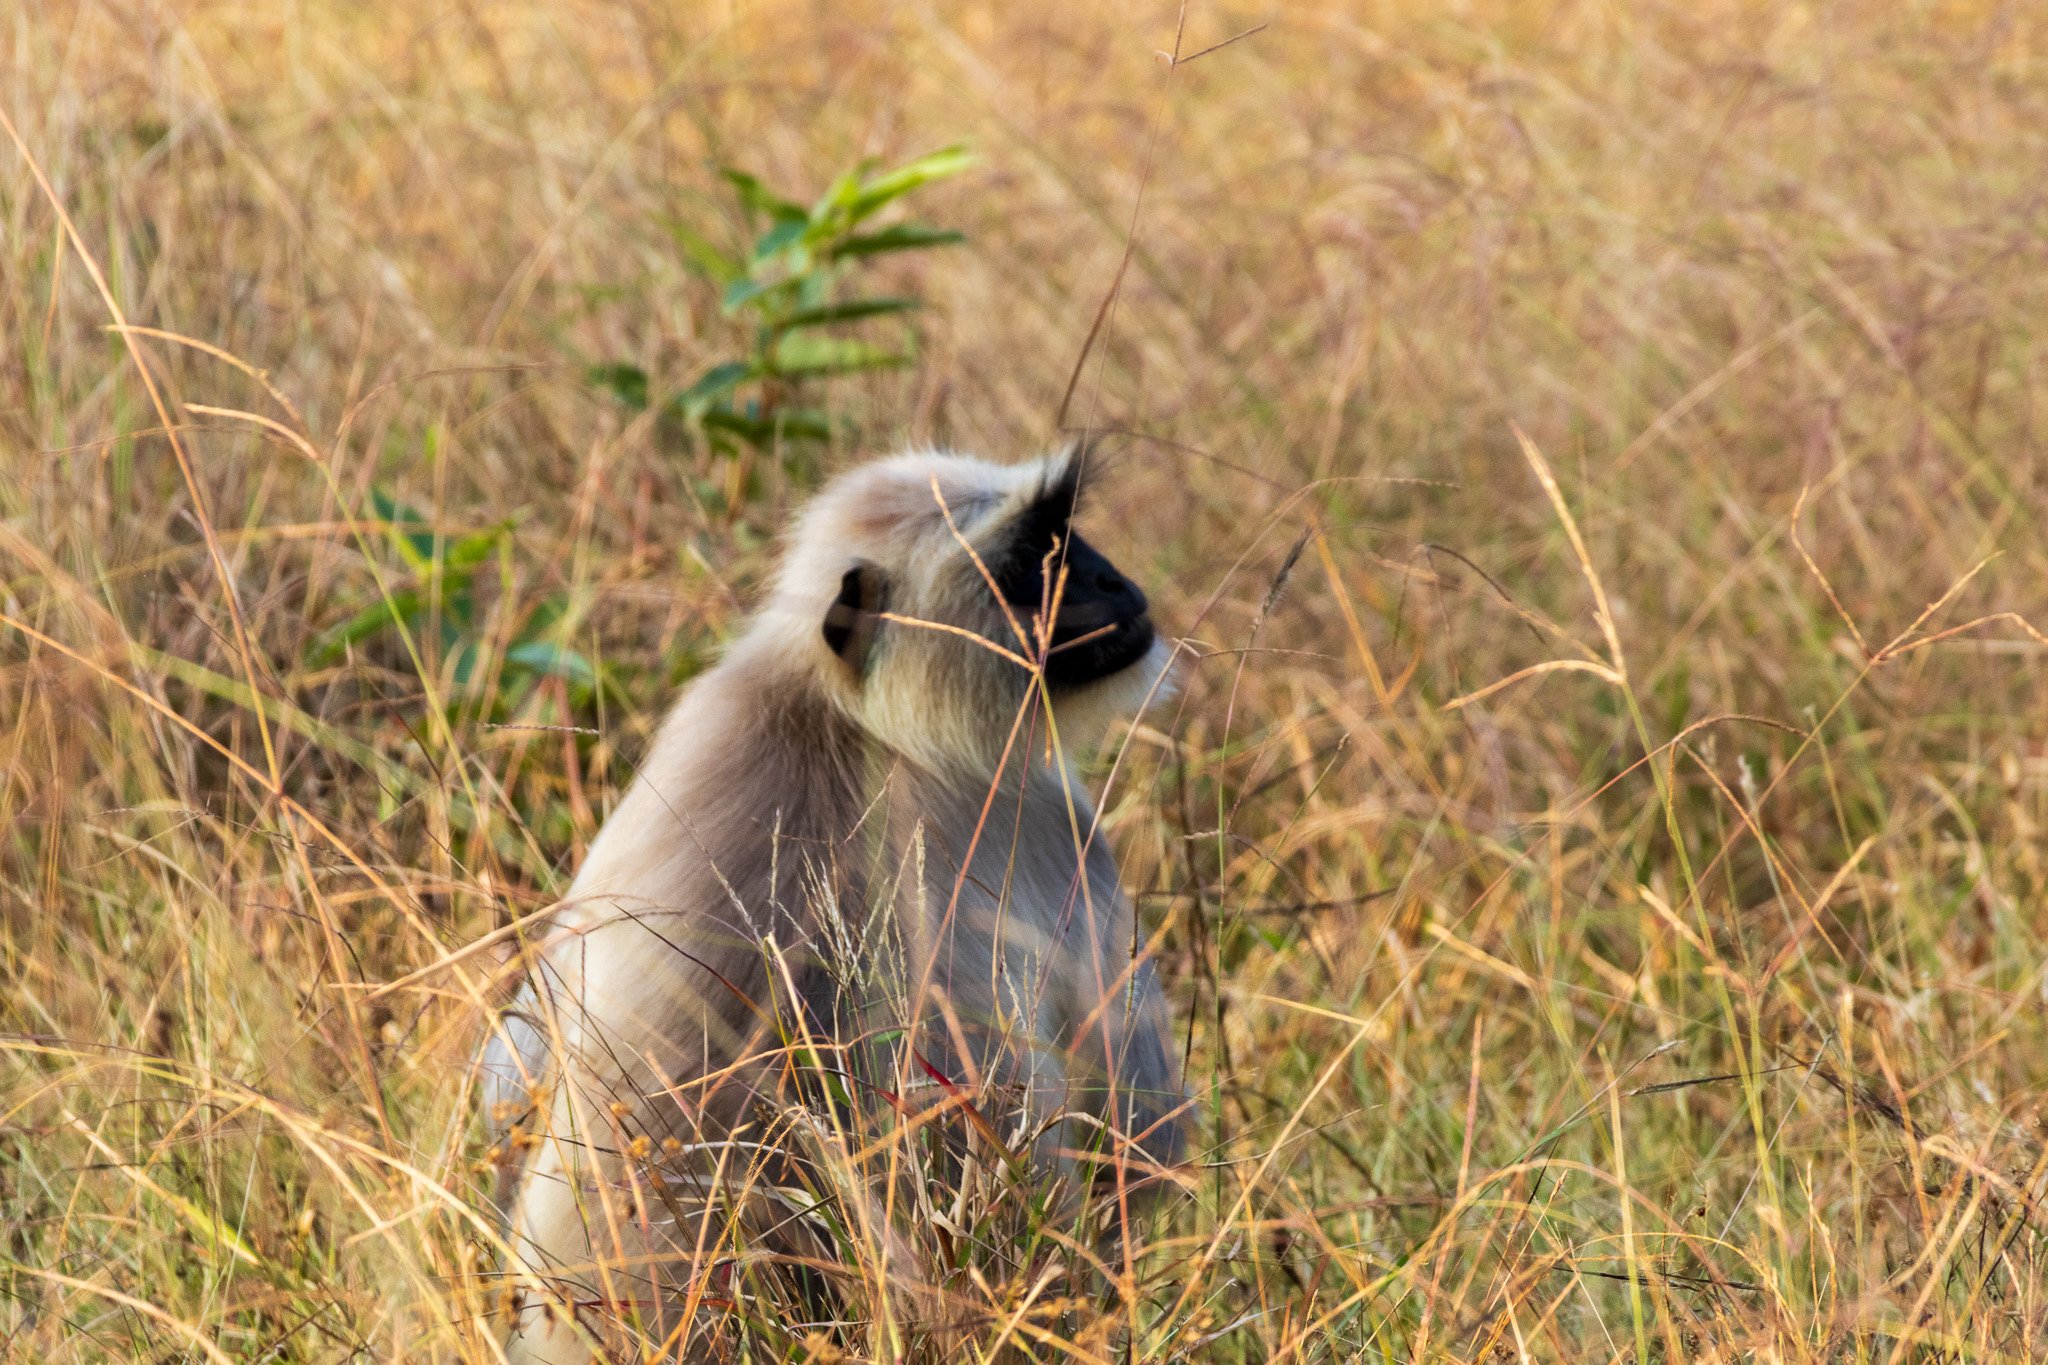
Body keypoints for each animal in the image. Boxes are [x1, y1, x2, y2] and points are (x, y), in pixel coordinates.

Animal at [477, 444, 1187, 1358]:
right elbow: (1127, 1129)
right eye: (1032, 559)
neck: (843, 717)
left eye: (1066, 534)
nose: (1107, 579)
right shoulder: (1028, 811)